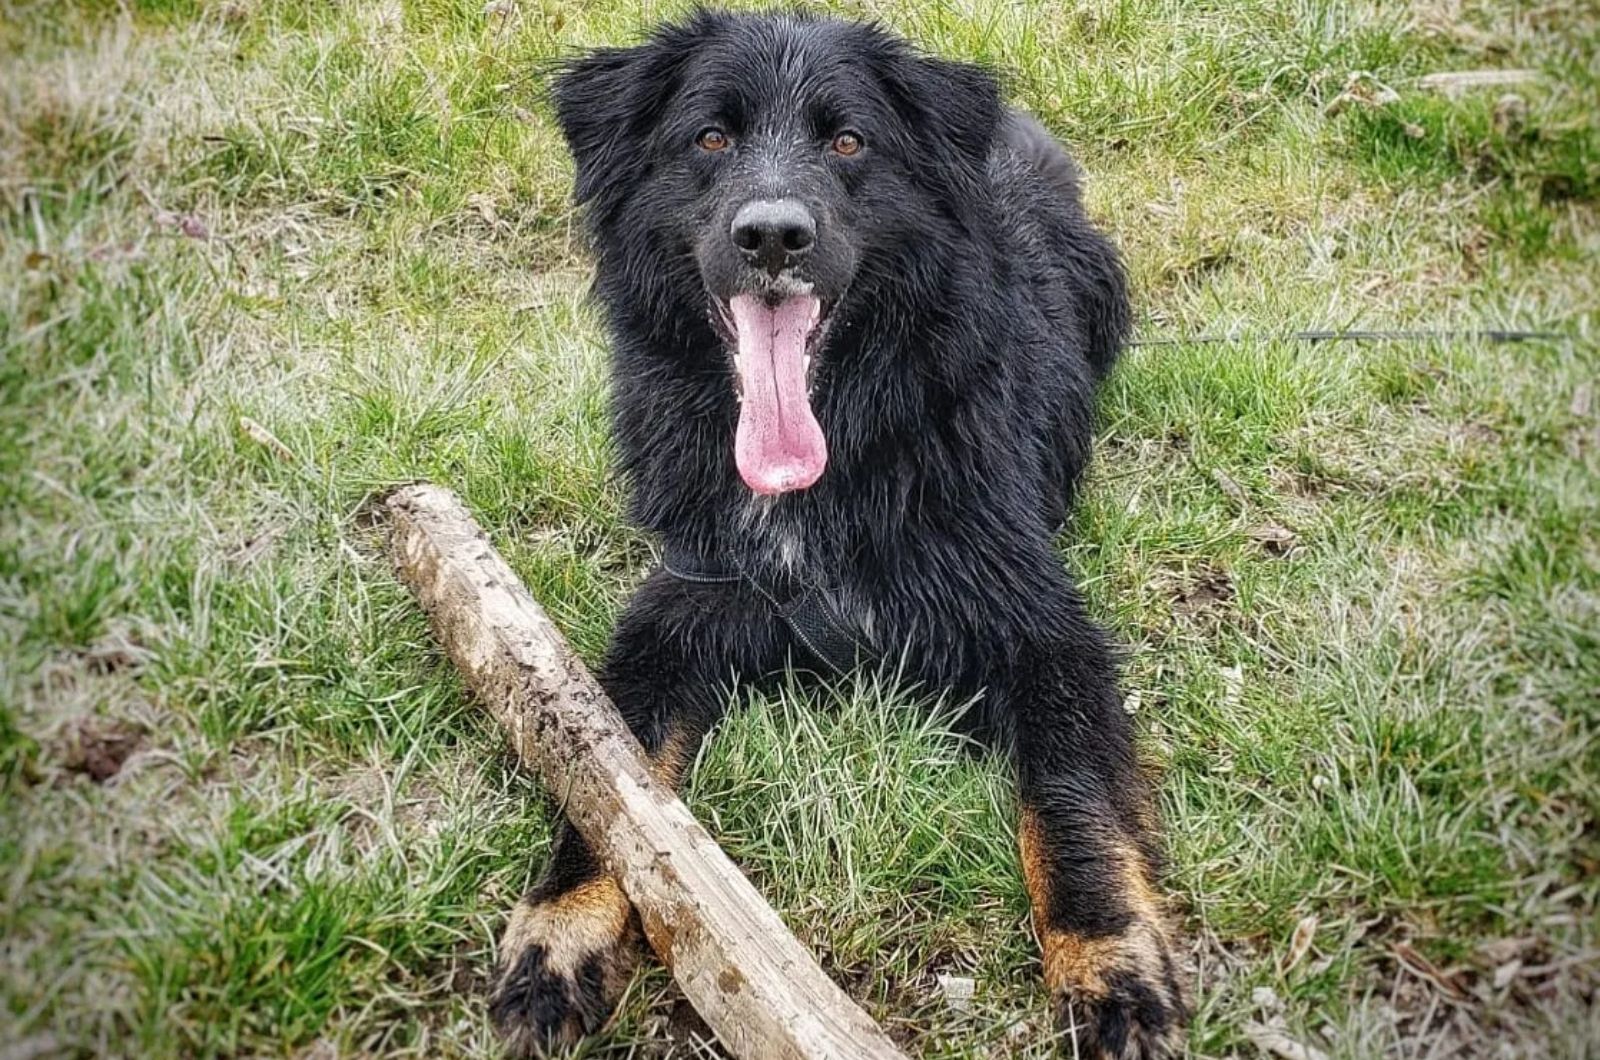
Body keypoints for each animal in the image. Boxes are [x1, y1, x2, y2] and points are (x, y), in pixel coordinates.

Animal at [489, 10, 1190, 1060]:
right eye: (711, 138)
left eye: (848, 141)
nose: (774, 235)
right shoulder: (678, 607)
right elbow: (611, 783)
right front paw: (560, 931)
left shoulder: (1042, 629)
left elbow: (1070, 799)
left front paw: (1108, 961)